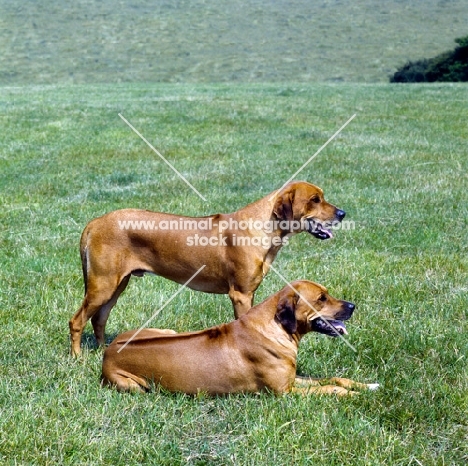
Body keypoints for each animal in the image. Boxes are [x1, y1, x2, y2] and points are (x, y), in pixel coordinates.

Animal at [70, 180, 348, 354]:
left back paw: (103, 351)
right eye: (315, 200)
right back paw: (78, 358)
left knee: (99, 319)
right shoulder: (241, 294)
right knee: (77, 321)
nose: (343, 213)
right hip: (103, 284)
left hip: (116, 284)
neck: (263, 227)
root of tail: (95, 223)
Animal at [100, 280, 378, 396]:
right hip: (132, 386)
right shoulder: (285, 392)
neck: (274, 328)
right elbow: (330, 388)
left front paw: (368, 386)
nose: (352, 306)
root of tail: (108, 350)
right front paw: (354, 396)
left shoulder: (291, 379)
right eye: (321, 298)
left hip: (165, 331)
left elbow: (335, 379)